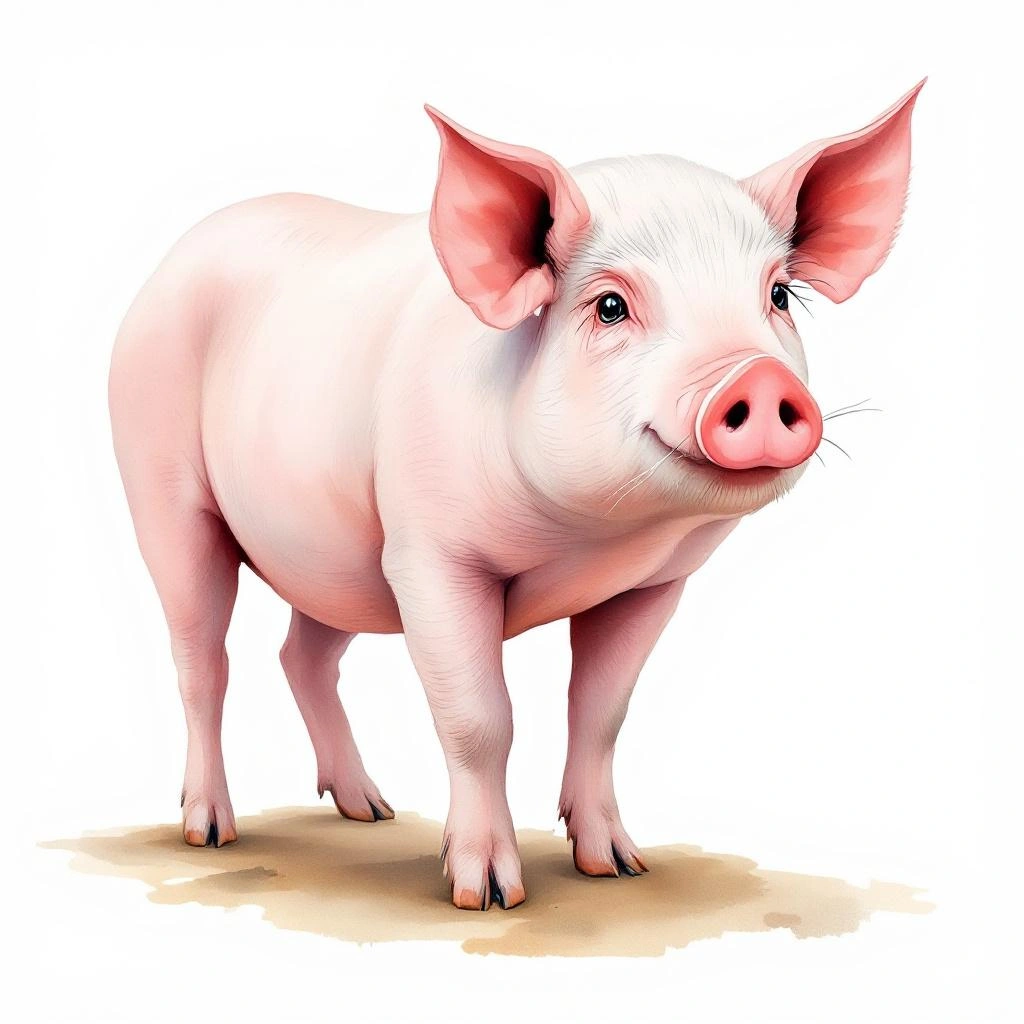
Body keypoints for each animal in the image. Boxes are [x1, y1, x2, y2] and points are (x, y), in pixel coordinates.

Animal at [109, 82, 923, 910]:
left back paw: (369, 810)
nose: (757, 378)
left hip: (341, 559)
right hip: (160, 483)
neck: (594, 538)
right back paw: (211, 830)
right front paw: (488, 894)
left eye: (779, 295)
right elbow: (480, 720)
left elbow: (601, 711)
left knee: (302, 656)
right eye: (610, 307)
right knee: (202, 658)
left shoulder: (650, 584)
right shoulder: (431, 557)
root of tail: (175, 255)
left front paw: (620, 867)